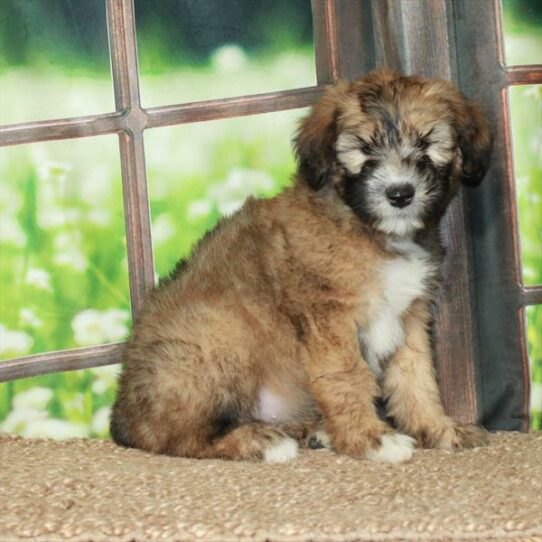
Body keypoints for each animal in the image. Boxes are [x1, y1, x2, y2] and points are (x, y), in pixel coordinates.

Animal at [110, 70, 492, 466]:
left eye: (427, 144)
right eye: (363, 149)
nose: (400, 194)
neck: (368, 228)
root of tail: (123, 418)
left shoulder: (410, 314)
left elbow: (417, 378)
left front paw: (439, 428)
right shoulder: (329, 318)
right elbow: (347, 376)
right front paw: (370, 438)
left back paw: (313, 431)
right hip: (218, 337)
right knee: (176, 437)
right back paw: (259, 441)